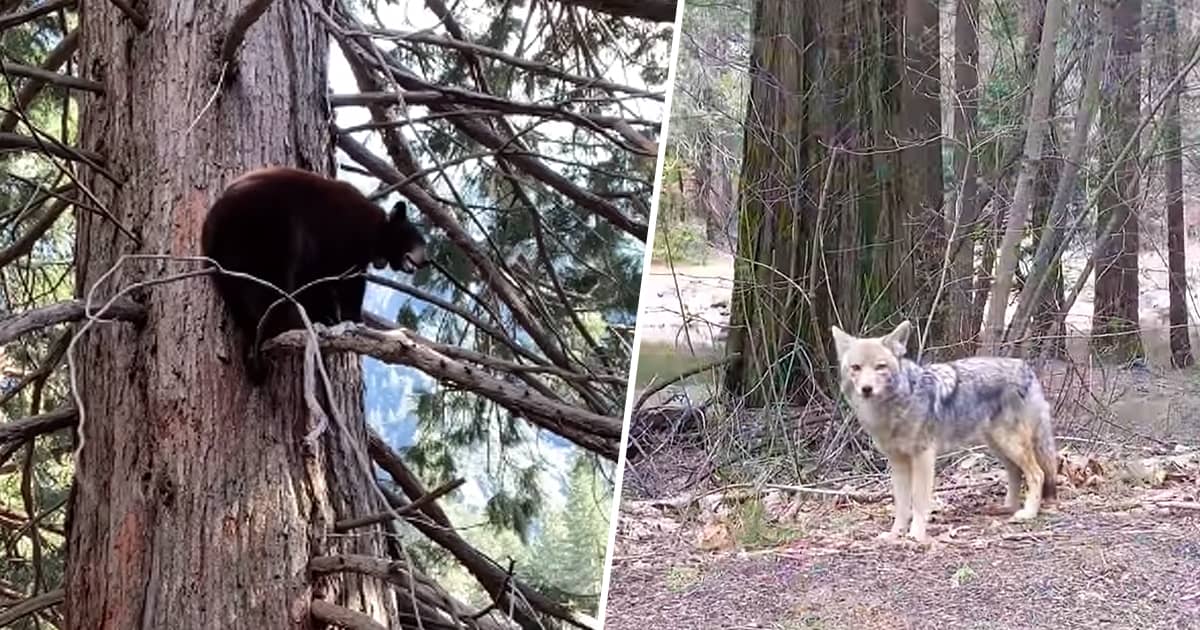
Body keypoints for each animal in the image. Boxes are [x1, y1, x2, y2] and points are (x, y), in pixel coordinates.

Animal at [195, 166, 422, 381]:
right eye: (417, 237)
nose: (426, 258)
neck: (375, 231)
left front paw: (331, 318)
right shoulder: (341, 236)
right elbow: (338, 280)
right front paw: (349, 319)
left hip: (224, 263)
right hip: (262, 231)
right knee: (268, 281)